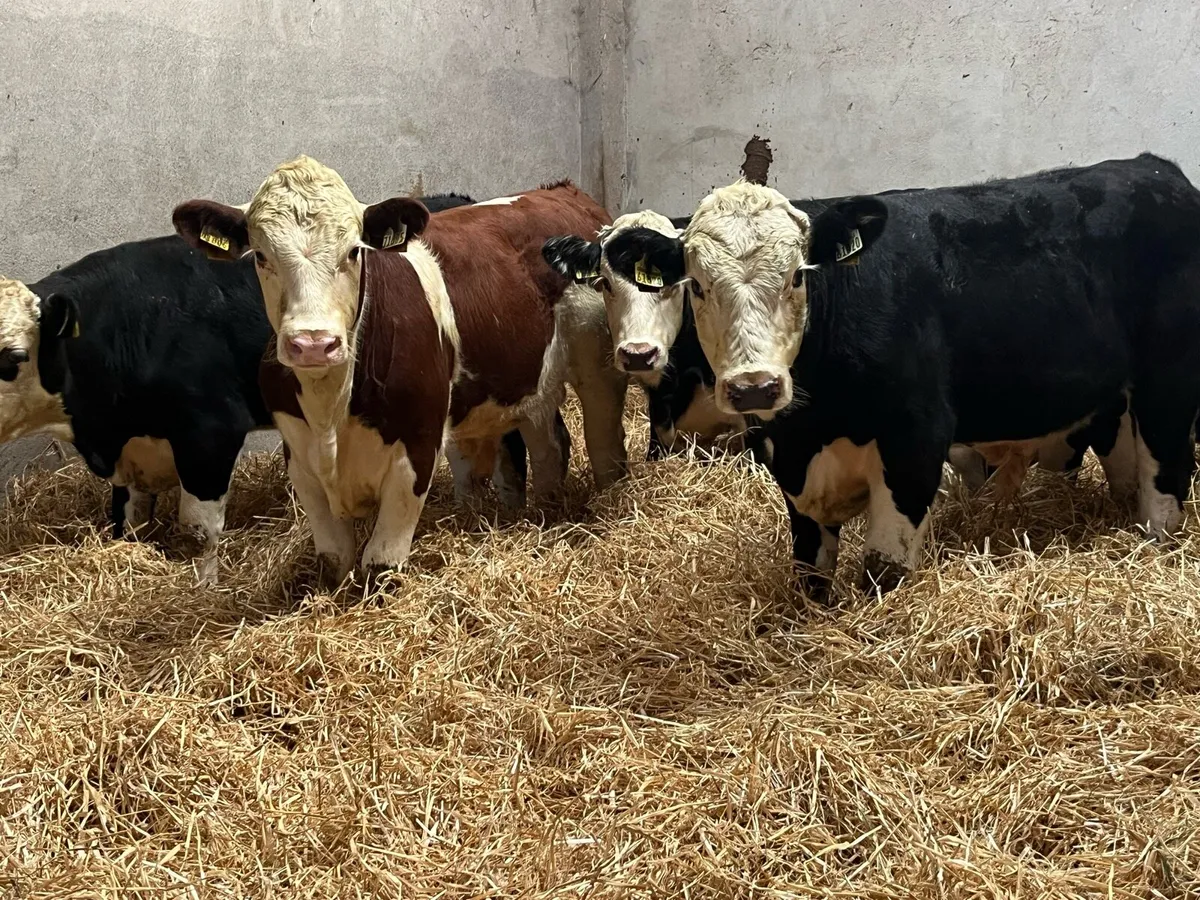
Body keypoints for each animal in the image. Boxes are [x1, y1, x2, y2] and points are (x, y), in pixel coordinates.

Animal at [0, 192, 521, 586]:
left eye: (12, 358)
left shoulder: (209, 435)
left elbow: (199, 531)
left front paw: (204, 590)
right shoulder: (130, 456)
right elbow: (127, 523)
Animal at [172, 157, 626, 586]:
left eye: (353, 251)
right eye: (262, 256)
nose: (314, 343)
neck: (331, 409)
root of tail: (563, 192)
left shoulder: (416, 449)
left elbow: (381, 563)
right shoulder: (300, 458)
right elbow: (333, 559)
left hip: (599, 370)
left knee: (605, 448)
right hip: (528, 386)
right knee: (549, 447)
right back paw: (545, 513)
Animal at [588, 154, 1200, 595]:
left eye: (797, 276)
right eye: (695, 284)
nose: (754, 386)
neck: (813, 426)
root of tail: (1155, 169)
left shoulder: (916, 441)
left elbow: (882, 570)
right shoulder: (789, 465)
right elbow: (809, 573)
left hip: (1169, 385)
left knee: (1166, 484)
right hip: (1116, 406)